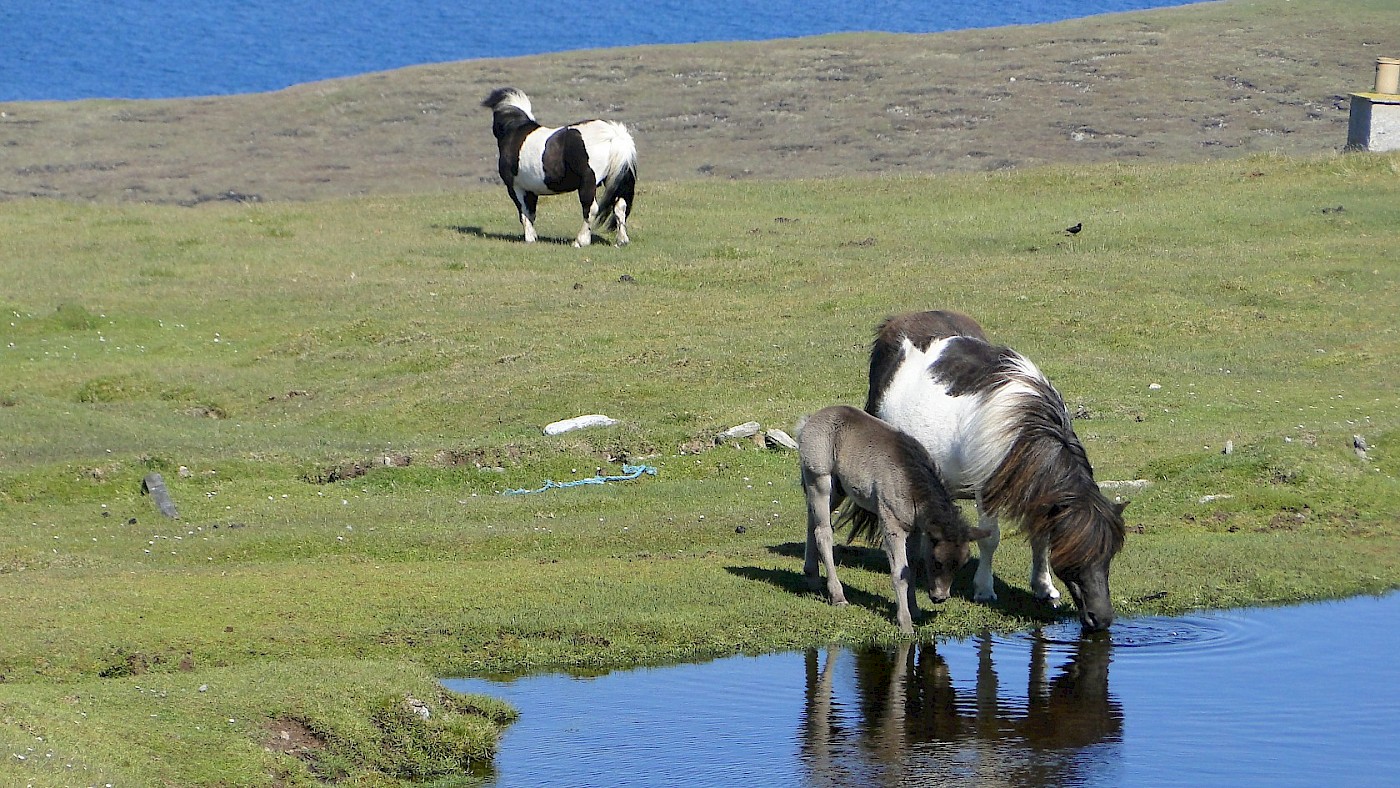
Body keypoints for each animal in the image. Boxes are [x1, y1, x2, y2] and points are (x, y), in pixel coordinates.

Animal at [481, 86, 635, 247]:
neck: (515, 131)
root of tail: (614, 136)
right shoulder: (531, 189)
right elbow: (531, 212)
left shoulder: (515, 187)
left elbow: (524, 212)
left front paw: (530, 238)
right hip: (615, 180)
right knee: (620, 206)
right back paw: (622, 240)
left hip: (588, 183)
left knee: (591, 209)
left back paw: (580, 241)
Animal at [800, 405, 996, 635]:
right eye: (937, 561)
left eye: (961, 564)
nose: (940, 597)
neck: (911, 484)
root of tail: (809, 420)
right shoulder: (891, 523)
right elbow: (900, 572)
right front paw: (905, 622)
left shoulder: (915, 529)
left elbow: (912, 566)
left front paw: (915, 609)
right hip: (820, 479)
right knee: (823, 531)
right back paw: (838, 595)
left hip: (838, 488)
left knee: (812, 520)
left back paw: (812, 576)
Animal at [862, 312, 1125, 632]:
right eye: (1079, 554)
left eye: (1109, 555)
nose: (1102, 619)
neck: (1020, 429)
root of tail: (895, 324)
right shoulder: (986, 491)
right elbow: (990, 539)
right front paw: (984, 589)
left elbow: (1041, 539)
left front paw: (1044, 587)